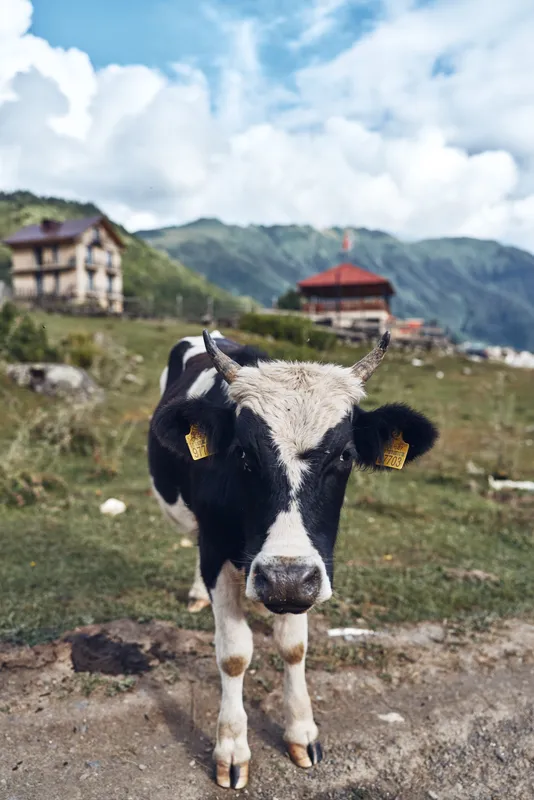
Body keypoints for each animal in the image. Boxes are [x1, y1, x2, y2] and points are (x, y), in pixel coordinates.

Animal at [148, 329, 438, 790]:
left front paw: (302, 732)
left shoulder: (309, 575)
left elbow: (294, 647)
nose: (282, 579)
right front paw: (231, 749)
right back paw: (196, 594)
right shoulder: (216, 550)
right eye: (242, 453)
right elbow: (234, 653)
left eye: (345, 455)